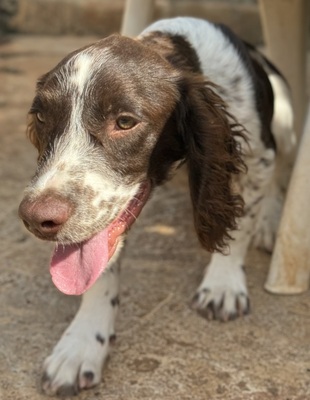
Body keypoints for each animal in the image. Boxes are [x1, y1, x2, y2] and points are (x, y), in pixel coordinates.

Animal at [18, 16, 294, 396]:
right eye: (42, 118)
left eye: (124, 122)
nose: (35, 218)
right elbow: (99, 269)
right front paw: (81, 344)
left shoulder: (258, 155)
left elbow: (240, 225)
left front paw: (223, 283)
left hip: (284, 125)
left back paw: (270, 220)